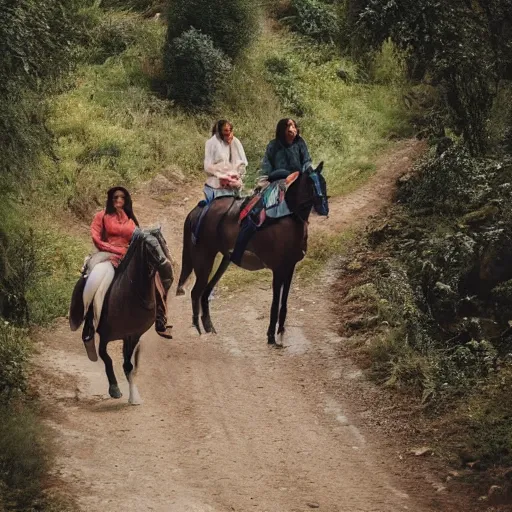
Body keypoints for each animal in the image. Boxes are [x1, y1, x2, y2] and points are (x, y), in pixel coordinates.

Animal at [69, 229, 173, 404]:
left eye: (162, 242)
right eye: (149, 247)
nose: (166, 266)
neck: (130, 295)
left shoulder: (133, 335)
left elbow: (128, 364)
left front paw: (134, 396)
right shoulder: (105, 336)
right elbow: (106, 357)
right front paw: (115, 389)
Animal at [177, 164, 328, 344]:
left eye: (324, 183)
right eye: (311, 185)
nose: (324, 207)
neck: (288, 219)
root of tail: (197, 210)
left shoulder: (290, 267)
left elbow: (283, 302)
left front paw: (280, 332)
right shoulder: (278, 269)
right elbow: (275, 303)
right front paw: (271, 336)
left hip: (223, 261)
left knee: (205, 293)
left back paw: (209, 328)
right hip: (204, 259)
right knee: (196, 292)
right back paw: (198, 331)